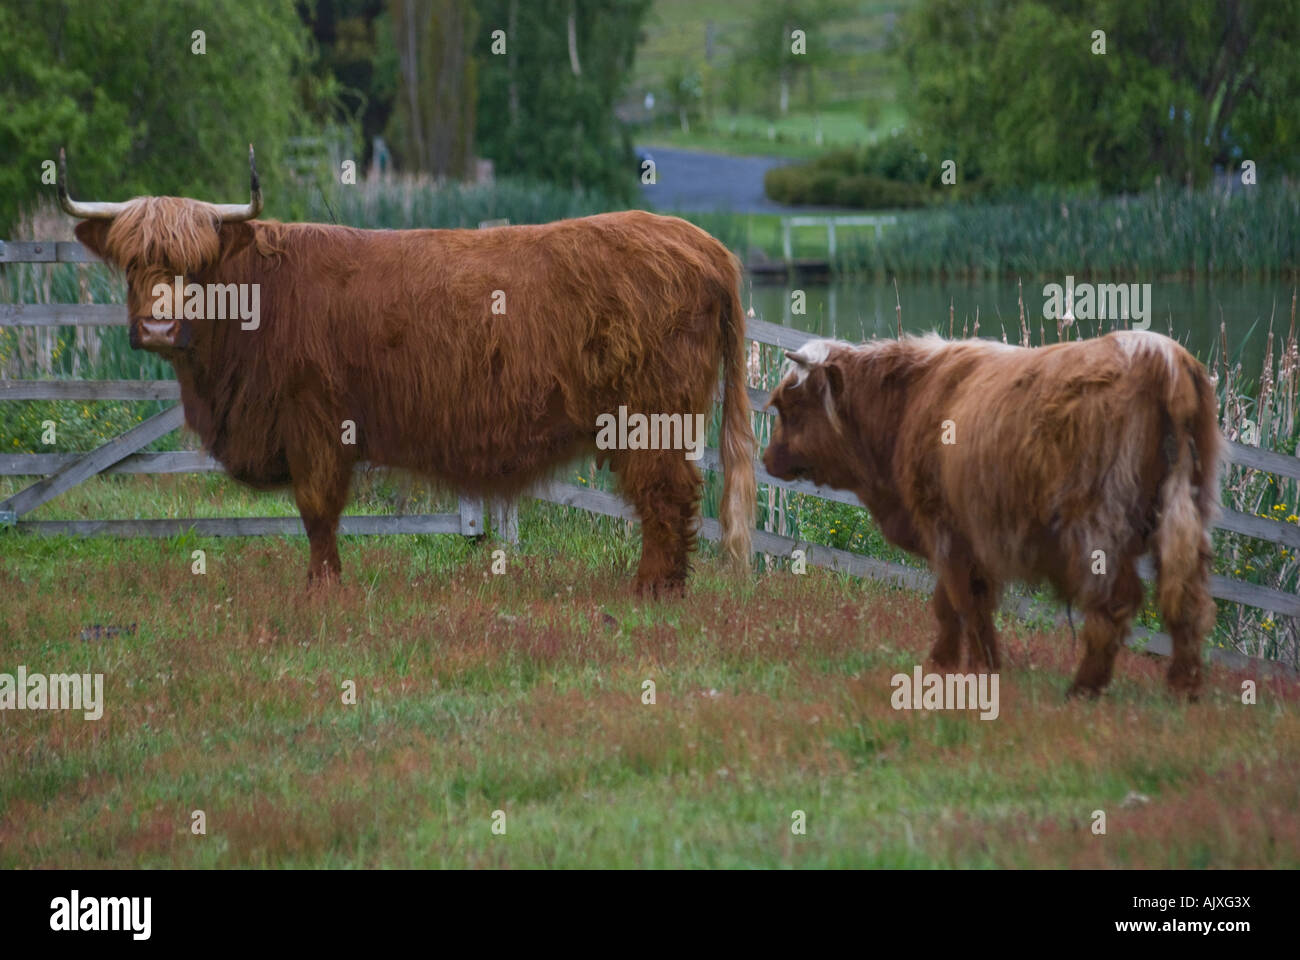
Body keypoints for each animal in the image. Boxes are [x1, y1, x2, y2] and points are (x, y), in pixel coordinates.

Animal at [59, 148, 756, 594]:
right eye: (131, 263)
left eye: (195, 267)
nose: (157, 329)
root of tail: (705, 245)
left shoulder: (315, 420)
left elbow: (317, 510)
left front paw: (322, 589)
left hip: (652, 416)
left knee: (668, 495)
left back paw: (653, 591)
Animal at [763, 332, 1222, 698]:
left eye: (790, 405)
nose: (767, 459)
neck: (911, 400)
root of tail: (1161, 355)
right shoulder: (964, 535)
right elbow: (951, 601)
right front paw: (945, 663)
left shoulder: (945, 525)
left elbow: (963, 602)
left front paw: (979, 668)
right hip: (1185, 514)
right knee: (1187, 597)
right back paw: (1183, 688)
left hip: (1098, 525)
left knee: (1115, 602)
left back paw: (1083, 689)